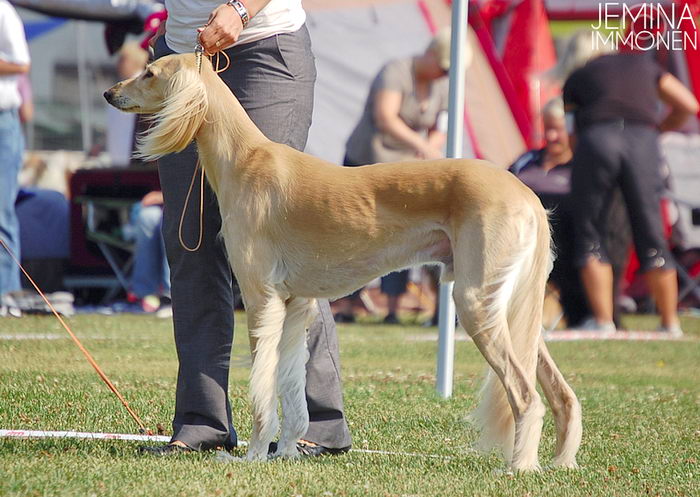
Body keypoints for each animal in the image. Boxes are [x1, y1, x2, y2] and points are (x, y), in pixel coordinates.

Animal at [104, 54, 584, 468]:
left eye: (149, 72)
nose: (110, 93)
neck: (245, 158)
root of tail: (527, 194)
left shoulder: (261, 299)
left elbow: (262, 387)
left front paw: (255, 453)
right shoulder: (295, 303)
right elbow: (291, 385)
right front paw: (287, 451)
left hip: (476, 301)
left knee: (526, 395)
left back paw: (520, 467)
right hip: (514, 308)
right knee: (563, 395)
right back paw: (561, 462)